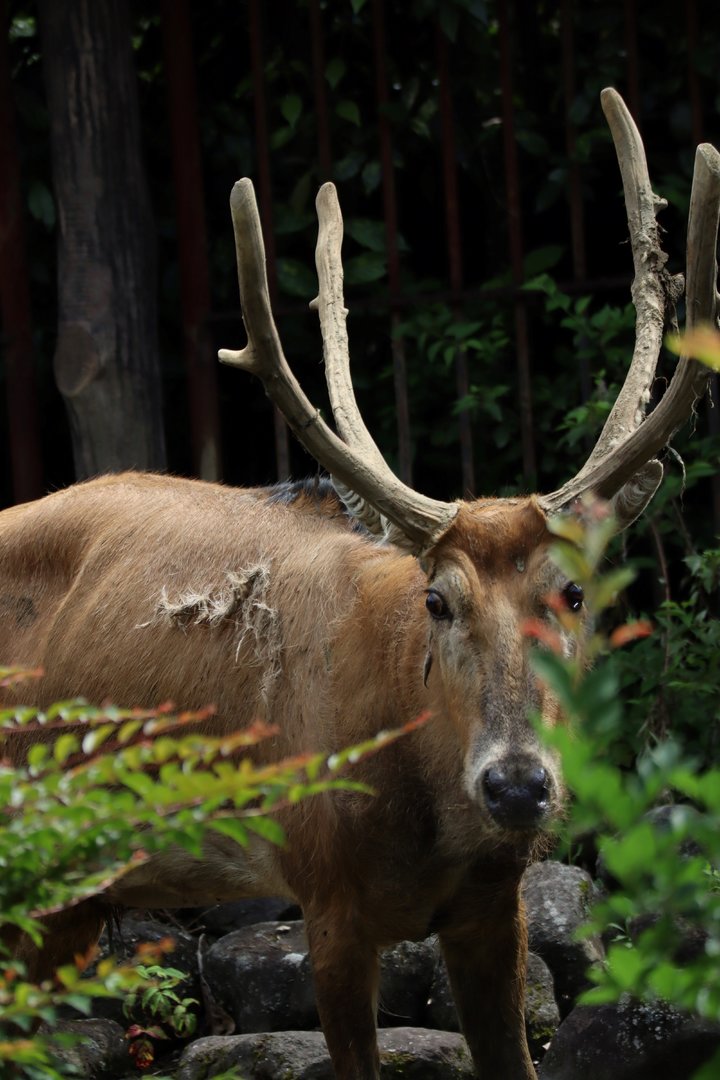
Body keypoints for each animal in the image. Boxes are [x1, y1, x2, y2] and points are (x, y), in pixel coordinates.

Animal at [0, 89, 718, 1080]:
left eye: (573, 594)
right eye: (437, 599)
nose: (518, 785)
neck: (428, 824)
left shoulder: (497, 906)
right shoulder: (324, 895)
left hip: (71, 889)